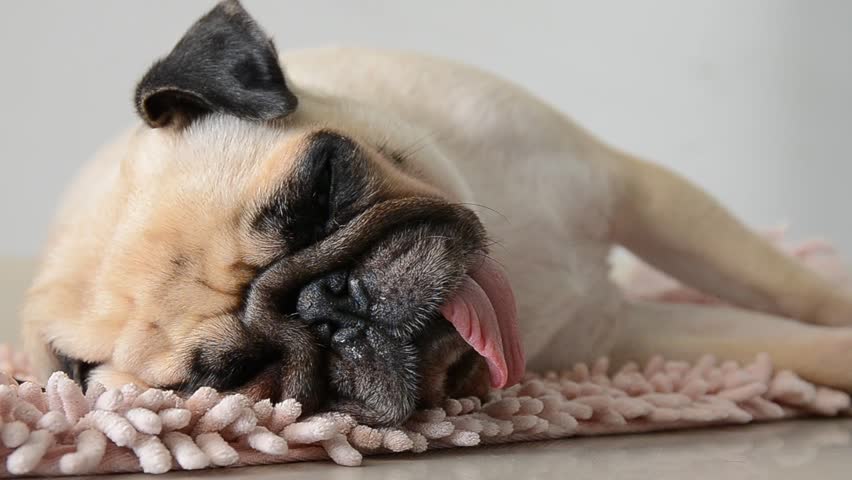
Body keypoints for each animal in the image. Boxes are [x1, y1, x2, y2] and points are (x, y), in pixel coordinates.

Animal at [20, 0, 852, 428]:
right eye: (236, 375)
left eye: (322, 188)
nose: (329, 306)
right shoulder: (620, 336)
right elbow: (776, 343)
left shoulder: (638, 191)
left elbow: (787, 291)